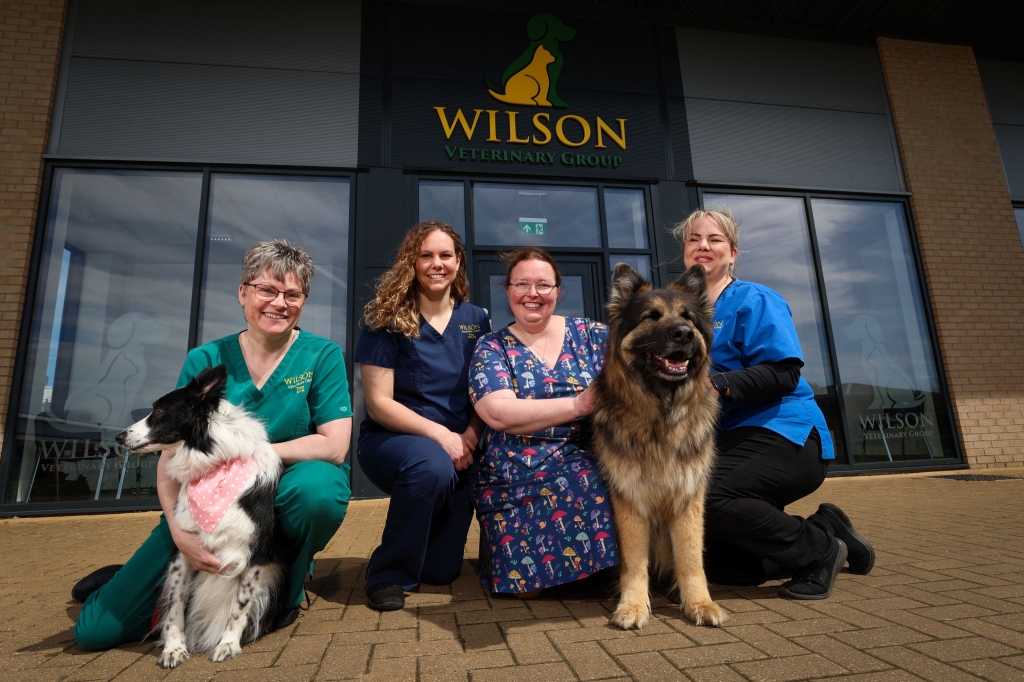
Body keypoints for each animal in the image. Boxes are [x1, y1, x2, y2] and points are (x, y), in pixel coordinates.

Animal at [593, 262, 729, 630]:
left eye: (689, 318)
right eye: (651, 316)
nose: (683, 333)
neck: (661, 416)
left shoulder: (688, 497)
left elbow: (691, 556)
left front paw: (699, 603)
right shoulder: (630, 499)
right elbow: (633, 562)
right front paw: (633, 606)